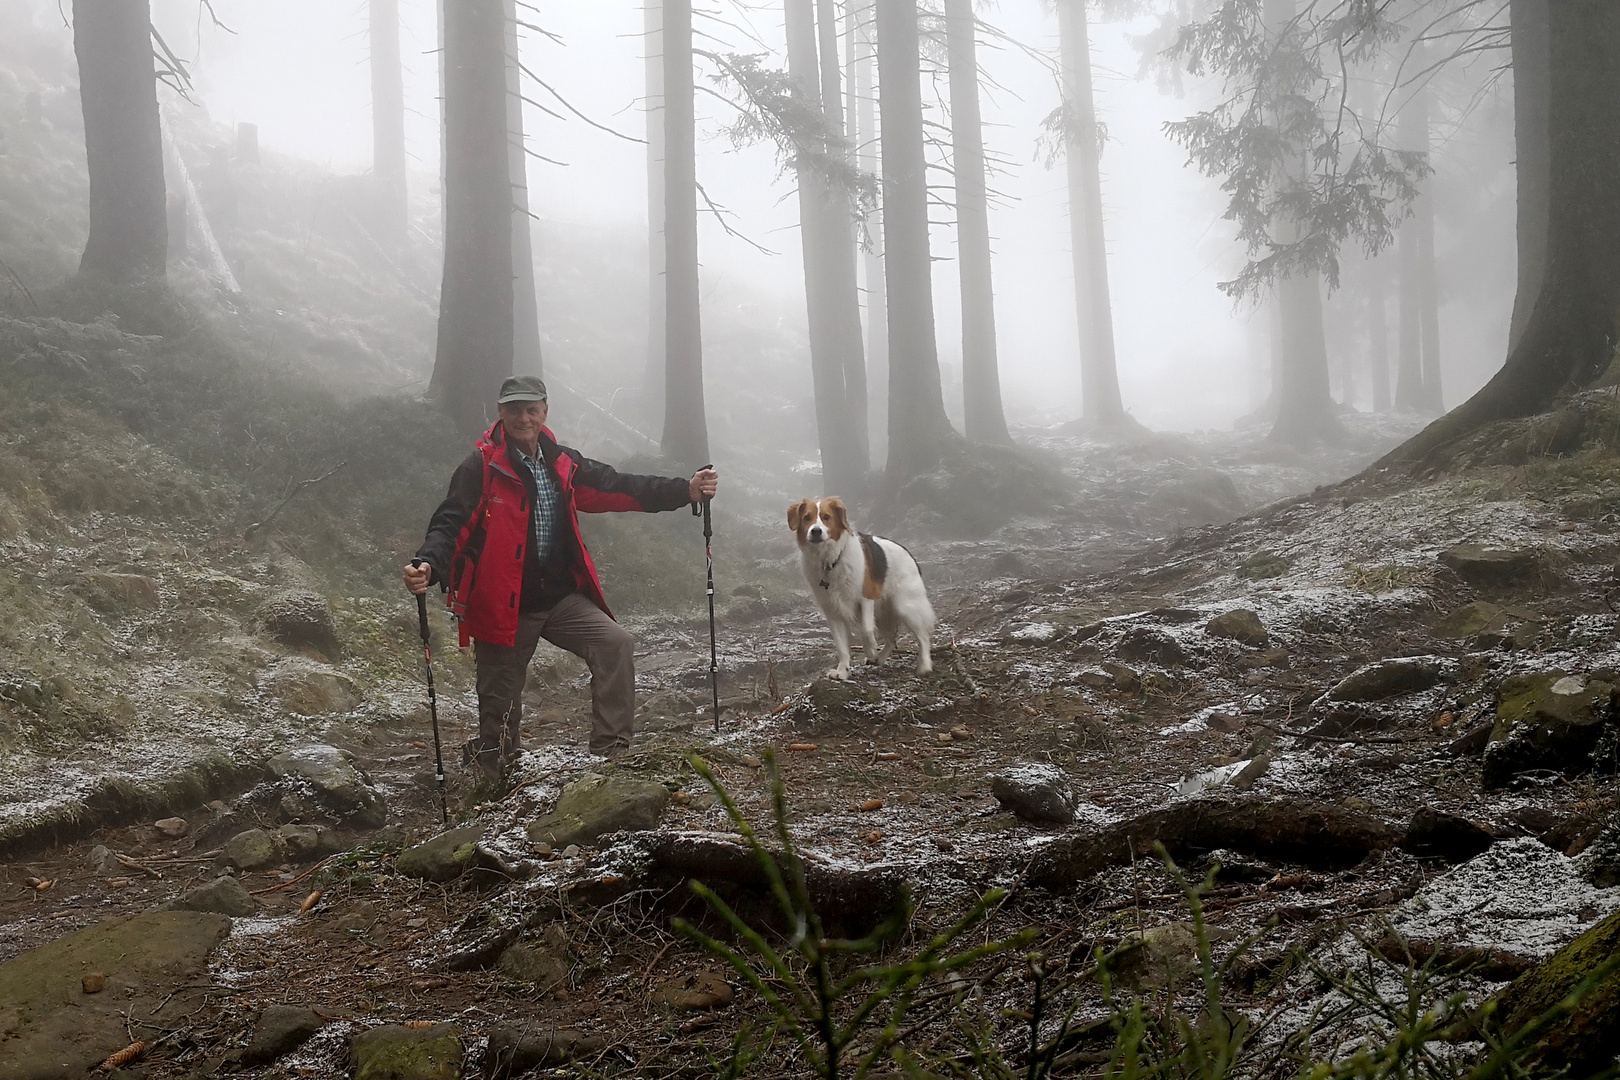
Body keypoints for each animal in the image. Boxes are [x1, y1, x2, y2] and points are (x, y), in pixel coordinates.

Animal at [787, 495, 939, 680]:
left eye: (826, 517)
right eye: (807, 517)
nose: (816, 531)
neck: (830, 560)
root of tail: (909, 554)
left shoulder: (866, 598)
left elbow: (866, 629)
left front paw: (870, 649)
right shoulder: (833, 612)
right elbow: (841, 646)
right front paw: (842, 671)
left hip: (905, 606)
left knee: (923, 636)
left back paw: (924, 664)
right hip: (883, 613)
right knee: (891, 639)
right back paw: (879, 658)